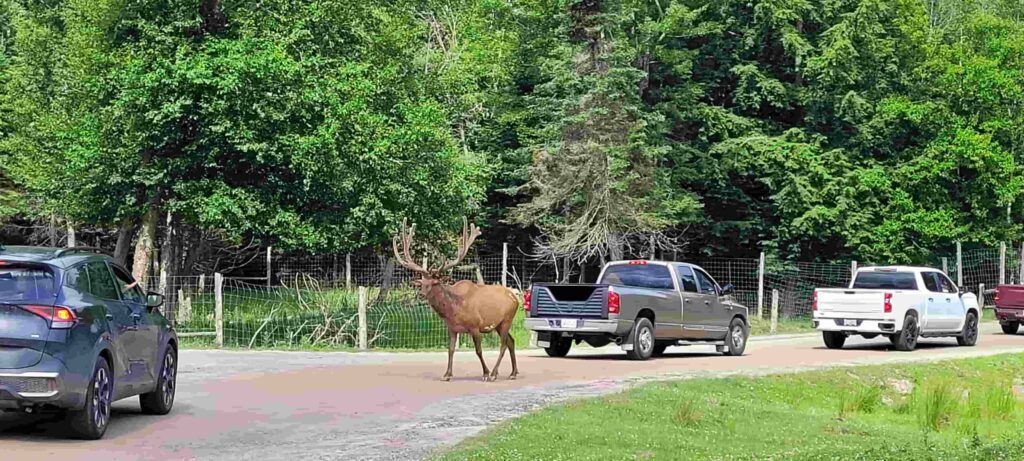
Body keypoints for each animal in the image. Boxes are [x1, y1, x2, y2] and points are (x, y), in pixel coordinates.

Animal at [393, 218, 520, 382]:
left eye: (434, 283)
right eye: (422, 283)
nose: (420, 294)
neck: (452, 310)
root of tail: (515, 297)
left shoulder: (475, 326)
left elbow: (478, 350)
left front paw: (485, 373)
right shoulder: (452, 328)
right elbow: (451, 349)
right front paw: (447, 374)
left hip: (507, 319)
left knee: (503, 344)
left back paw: (493, 374)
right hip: (498, 324)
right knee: (511, 341)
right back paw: (513, 372)